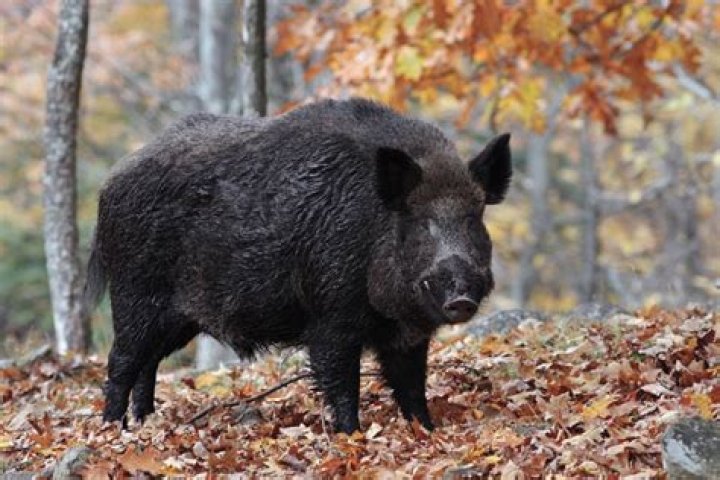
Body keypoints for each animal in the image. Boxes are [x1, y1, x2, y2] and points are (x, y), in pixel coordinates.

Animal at [83, 98, 512, 433]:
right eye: (420, 221)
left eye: (474, 218)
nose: (461, 296)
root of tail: (109, 185)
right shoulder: (331, 318)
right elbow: (342, 383)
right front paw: (350, 436)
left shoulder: (407, 335)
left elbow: (411, 386)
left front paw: (426, 431)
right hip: (135, 294)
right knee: (121, 362)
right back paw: (113, 430)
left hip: (177, 319)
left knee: (149, 363)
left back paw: (144, 423)